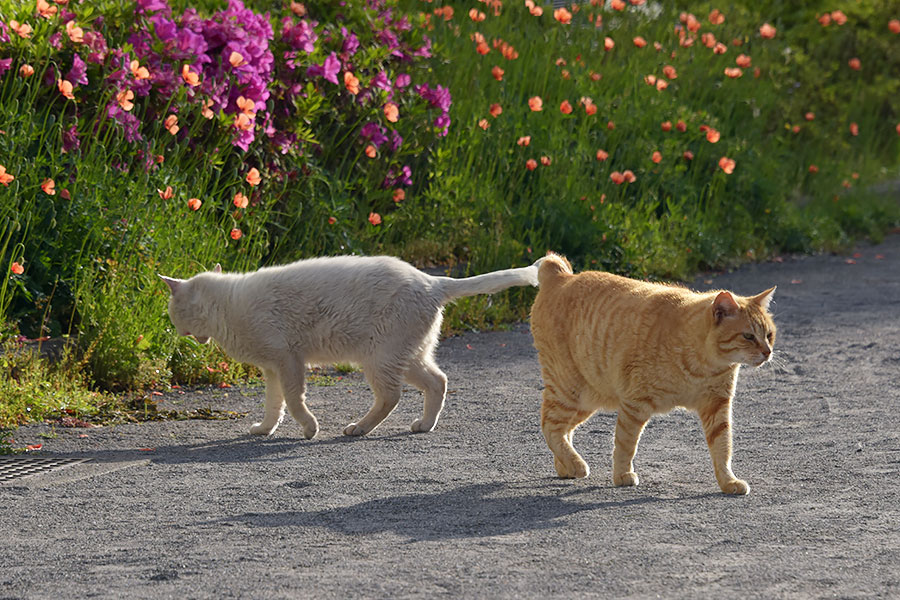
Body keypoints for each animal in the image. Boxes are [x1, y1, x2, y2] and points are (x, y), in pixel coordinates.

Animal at [158, 255, 544, 438]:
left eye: (173, 313)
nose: (174, 330)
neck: (225, 306)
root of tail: (432, 280)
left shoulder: (288, 360)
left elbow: (294, 400)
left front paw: (309, 428)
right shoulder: (272, 368)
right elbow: (274, 404)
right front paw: (265, 429)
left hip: (380, 358)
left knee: (391, 396)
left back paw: (359, 428)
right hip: (407, 356)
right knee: (439, 381)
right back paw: (424, 424)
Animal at [532, 251, 776, 494]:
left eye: (769, 335)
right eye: (748, 336)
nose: (768, 352)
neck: (703, 366)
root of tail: (561, 276)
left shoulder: (717, 406)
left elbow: (723, 447)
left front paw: (728, 481)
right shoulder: (635, 405)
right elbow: (626, 444)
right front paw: (622, 475)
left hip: (587, 400)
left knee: (564, 429)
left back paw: (565, 466)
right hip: (569, 390)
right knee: (549, 425)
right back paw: (576, 464)